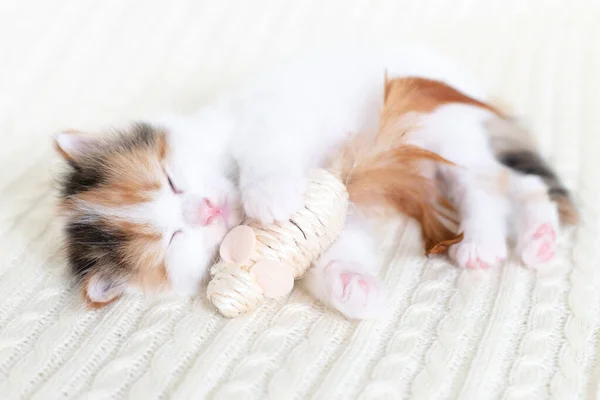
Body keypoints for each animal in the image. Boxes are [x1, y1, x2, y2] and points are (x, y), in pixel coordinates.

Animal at [55, 47, 576, 318]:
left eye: (170, 180)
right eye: (172, 241)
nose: (206, 210)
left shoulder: (261, 117)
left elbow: (261, 153)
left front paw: (270, 196)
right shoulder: (335, 218)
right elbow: (333, 252)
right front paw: (354, 290)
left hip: (436, 129)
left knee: (489, 184)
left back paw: (484, 242)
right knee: (520, 184)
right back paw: (539, 239)